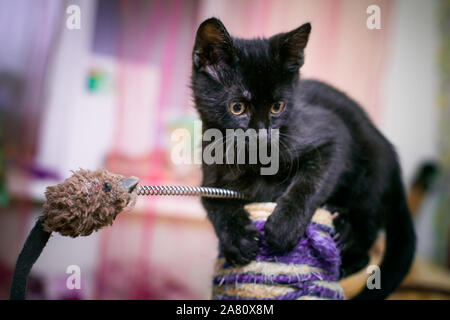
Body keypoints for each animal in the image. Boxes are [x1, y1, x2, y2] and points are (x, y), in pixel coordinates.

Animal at [190, 17, 414, 298]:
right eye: (237, 107)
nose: (262, 135)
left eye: (278, 107)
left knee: (365, 242)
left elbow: (310, 183)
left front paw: (284, 226)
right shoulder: (211, 170)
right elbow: (211, 200)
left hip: (370, 177)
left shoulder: (332, 134)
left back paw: (341, 237)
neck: (253, 161)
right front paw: (237, 238)